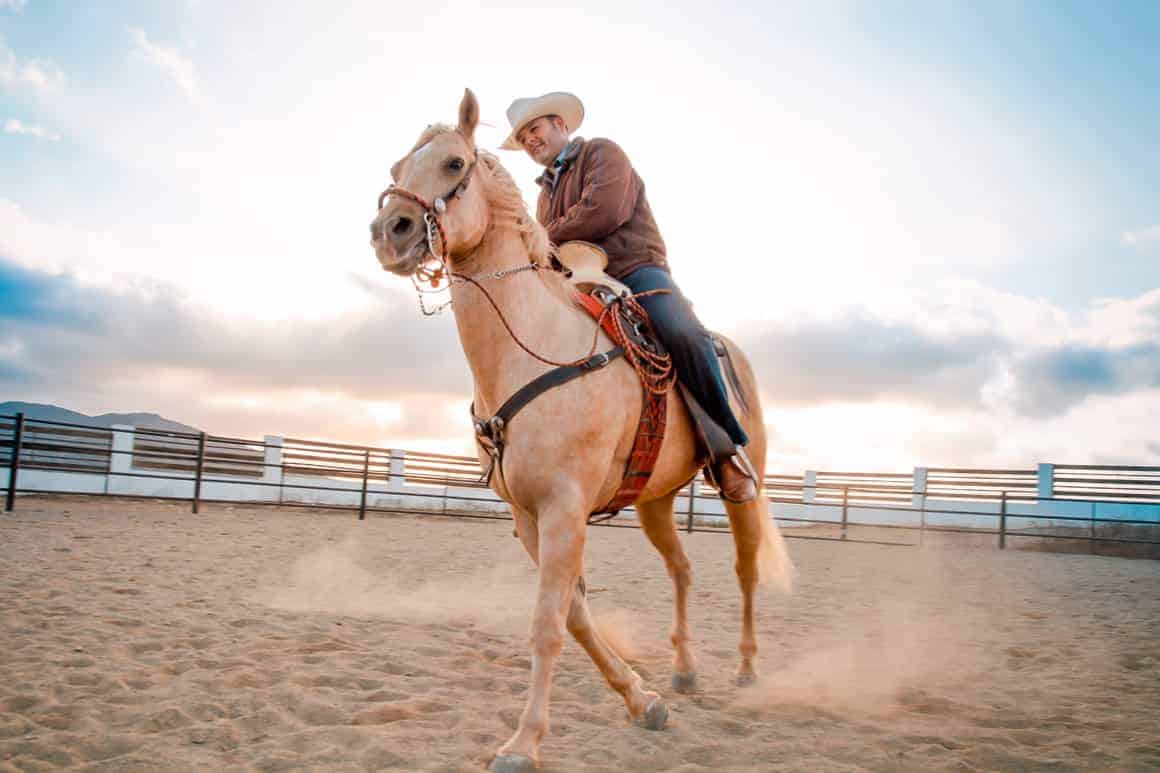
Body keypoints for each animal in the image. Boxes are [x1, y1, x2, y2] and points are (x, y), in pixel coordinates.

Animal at [369, 89, 793, 772]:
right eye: (397, 167)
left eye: (455, 163)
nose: (390, 232)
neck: (533, 347)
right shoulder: (528, 517)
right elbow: (575, 615)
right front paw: (644, 700)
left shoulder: (564, 508)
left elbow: (548, 623)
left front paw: (522, 744)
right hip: (654, 500)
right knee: (682, 569)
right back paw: (683, 669)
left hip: (741, 490)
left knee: (745, 569)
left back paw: (748, 669)